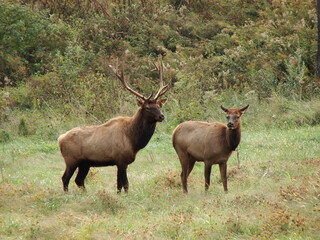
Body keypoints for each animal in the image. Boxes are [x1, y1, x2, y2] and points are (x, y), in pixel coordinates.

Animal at [57, 62, 169, 193]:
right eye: (147, 107)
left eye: (159, 106)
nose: (161, 116)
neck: (134, 141)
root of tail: (60, 138)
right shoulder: (121, 159)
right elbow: (125, 184)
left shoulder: (119, 162)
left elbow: (119, 185)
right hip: (71, 159)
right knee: (65, 178)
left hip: (84, 163)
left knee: (79, 180)